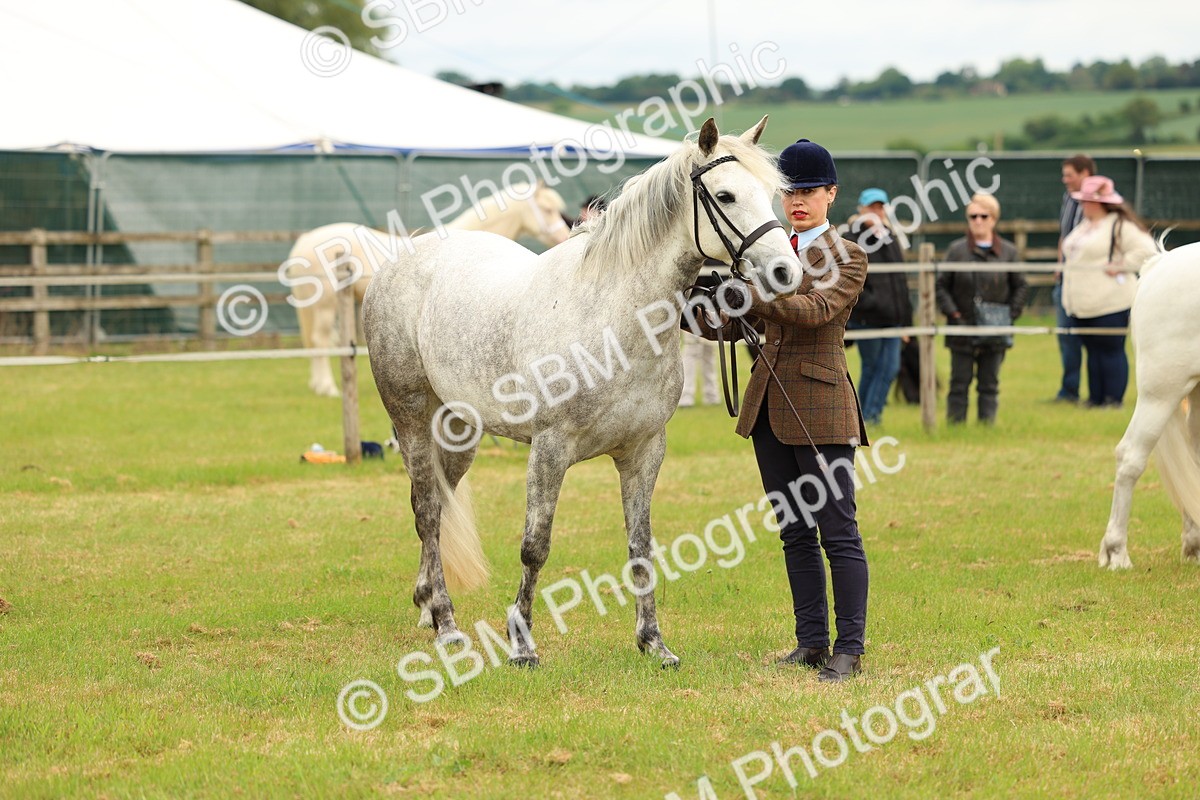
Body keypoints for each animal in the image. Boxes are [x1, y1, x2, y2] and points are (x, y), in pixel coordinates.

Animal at [286, 182, 569, 397]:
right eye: (547, 209)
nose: (563, 236)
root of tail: (305, 241)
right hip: (325, 304)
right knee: (320, 340)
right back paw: (327, 388)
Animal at [361, 116, 798, 668]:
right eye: (725, 195)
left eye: (772, 193)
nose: (787, 272)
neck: (613, 319)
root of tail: (401, 260)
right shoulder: (550, 449)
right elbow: (535, 546)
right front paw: (521, 644)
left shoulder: (643, 452)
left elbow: (641, 548)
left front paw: (653, 643)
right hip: (414, 420)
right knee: (426, 511)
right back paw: (447, 626)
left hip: (459, 431)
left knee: (439, 505)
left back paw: (427, 606)